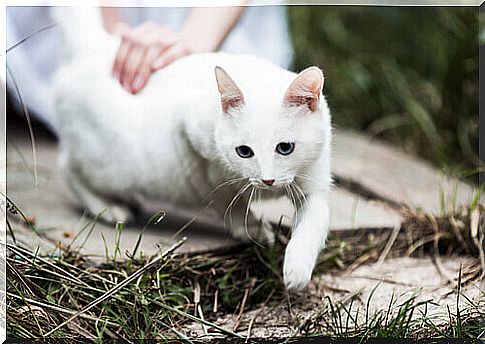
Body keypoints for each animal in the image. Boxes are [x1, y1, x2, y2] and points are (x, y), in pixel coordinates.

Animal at [54, 7, 332, 290]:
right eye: (244, 151)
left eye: (285, 148)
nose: (267, 180)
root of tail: (99, 46)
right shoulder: (195, 144)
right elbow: (226, 200)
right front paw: (253, 229)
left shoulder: (314, 184)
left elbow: (315, 220)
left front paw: (297, 269)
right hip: (111, 165)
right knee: (67, 166)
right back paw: (109, 207)